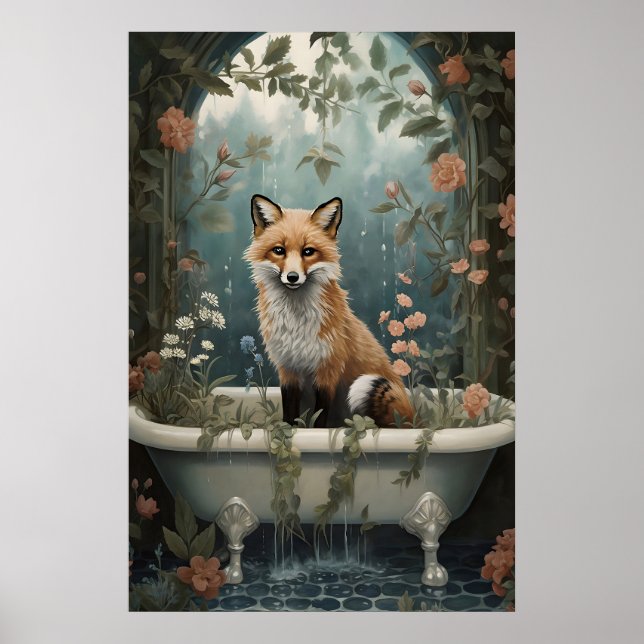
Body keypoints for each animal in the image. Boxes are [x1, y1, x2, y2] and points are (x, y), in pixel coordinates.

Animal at [245, 193, 414, 428]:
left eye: (308, 251)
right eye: (279, 250)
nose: (292, 277)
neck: (297, 323)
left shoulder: (328, 369)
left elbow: (320, 416)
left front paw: (316, 433)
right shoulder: (288, 368)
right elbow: (290, 412)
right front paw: (288, 431)